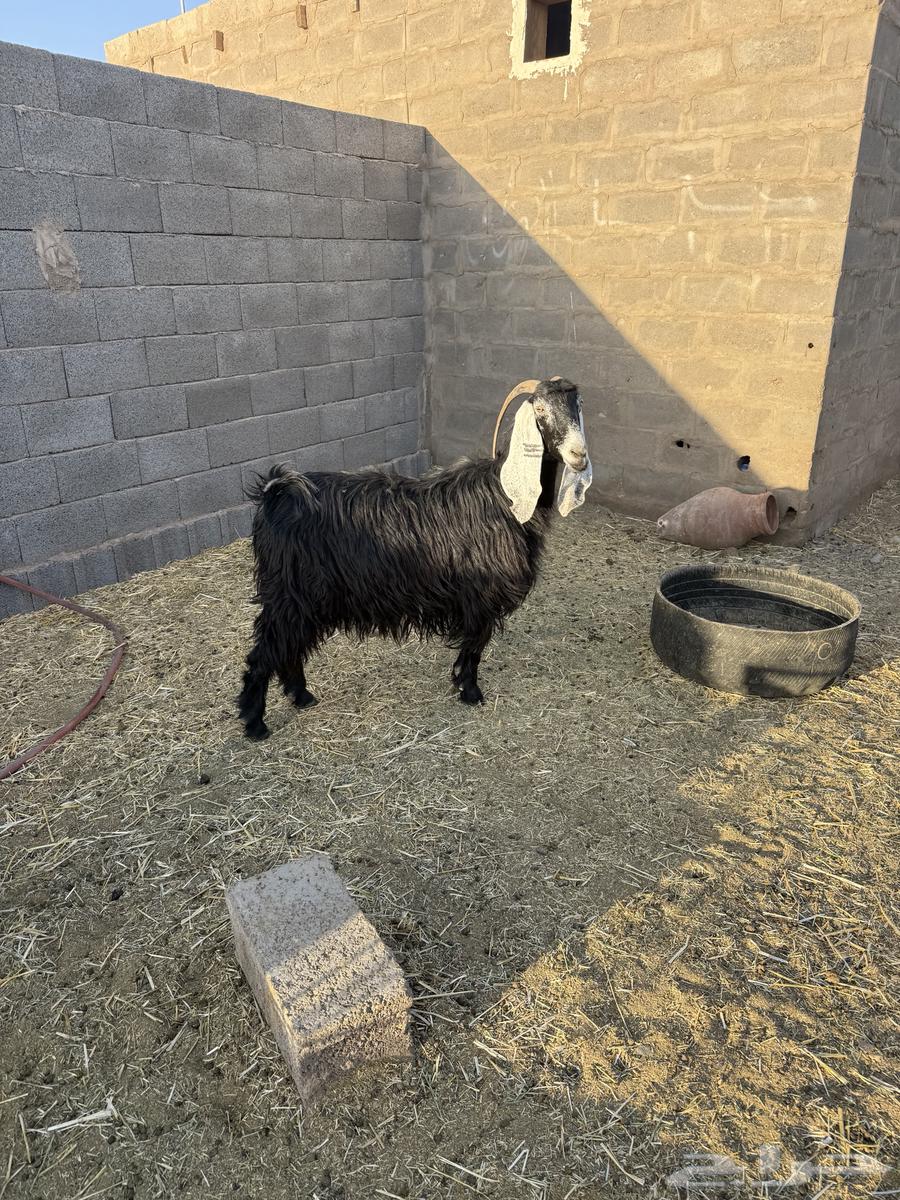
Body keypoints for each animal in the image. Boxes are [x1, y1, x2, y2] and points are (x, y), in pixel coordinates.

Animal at [237, 378, 592, 740]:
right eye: (540, 409)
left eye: (578, 405)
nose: (579, 456)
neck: (505, 496)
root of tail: (275, 493)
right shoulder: (479, 598)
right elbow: (474, 649)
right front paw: (471, 693)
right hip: (289, 593)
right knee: (264, 654)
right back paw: (255, 723)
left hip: (305, 599)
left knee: (289, 648)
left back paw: (302, 697)